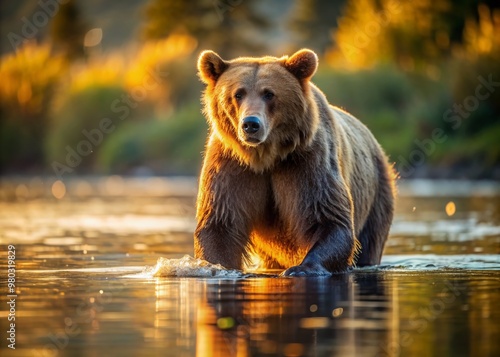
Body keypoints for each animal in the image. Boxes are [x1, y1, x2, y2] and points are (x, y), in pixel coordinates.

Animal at [194, 48, 394, 276]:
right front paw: (216, 266)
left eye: (269, 93)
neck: (265, 156)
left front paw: (302, 268)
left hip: (377, 192)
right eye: (238, 94)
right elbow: (220, 223)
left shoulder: (307, 161)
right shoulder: (231, 165)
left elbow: (327, 217)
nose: (251, 124)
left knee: (370, 239)